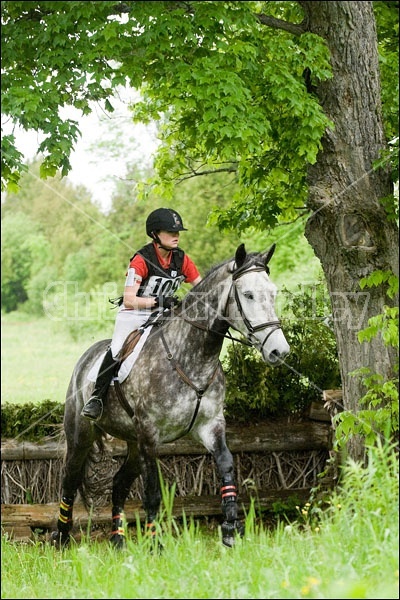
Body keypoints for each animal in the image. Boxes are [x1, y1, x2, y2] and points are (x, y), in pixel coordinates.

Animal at [51, 243, 290, 548]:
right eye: (248, 295)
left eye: (273, 292)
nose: (279, 351)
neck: (191, 358)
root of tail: (85, 358)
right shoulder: (150, 435)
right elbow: (153, 491)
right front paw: (155, 544)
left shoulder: (210, 425)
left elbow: (226, 465)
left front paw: (230, 530)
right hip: (82, 433)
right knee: (69, 479)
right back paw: (61, 536)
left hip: (132, 443)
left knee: (118, 484)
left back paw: (118, 540)